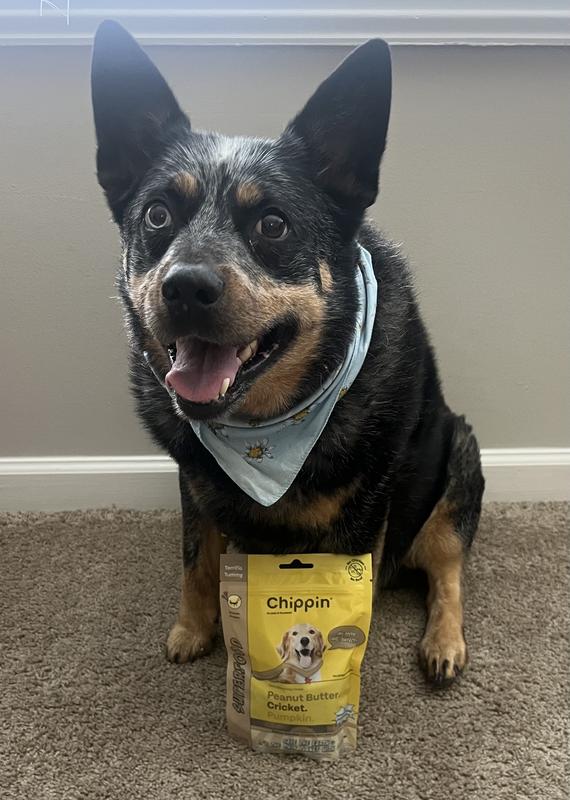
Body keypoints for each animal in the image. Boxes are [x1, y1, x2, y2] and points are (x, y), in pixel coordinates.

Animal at [91, 22, 484, 686]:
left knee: (446, 566)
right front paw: (194, 629)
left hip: (459, 454)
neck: (270, 428)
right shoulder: (193, 479)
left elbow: (359, 592)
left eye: (272, 224)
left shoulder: (364, 514)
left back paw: (444, 642)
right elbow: (196, 560)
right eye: (158, 214)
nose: (185, 287)